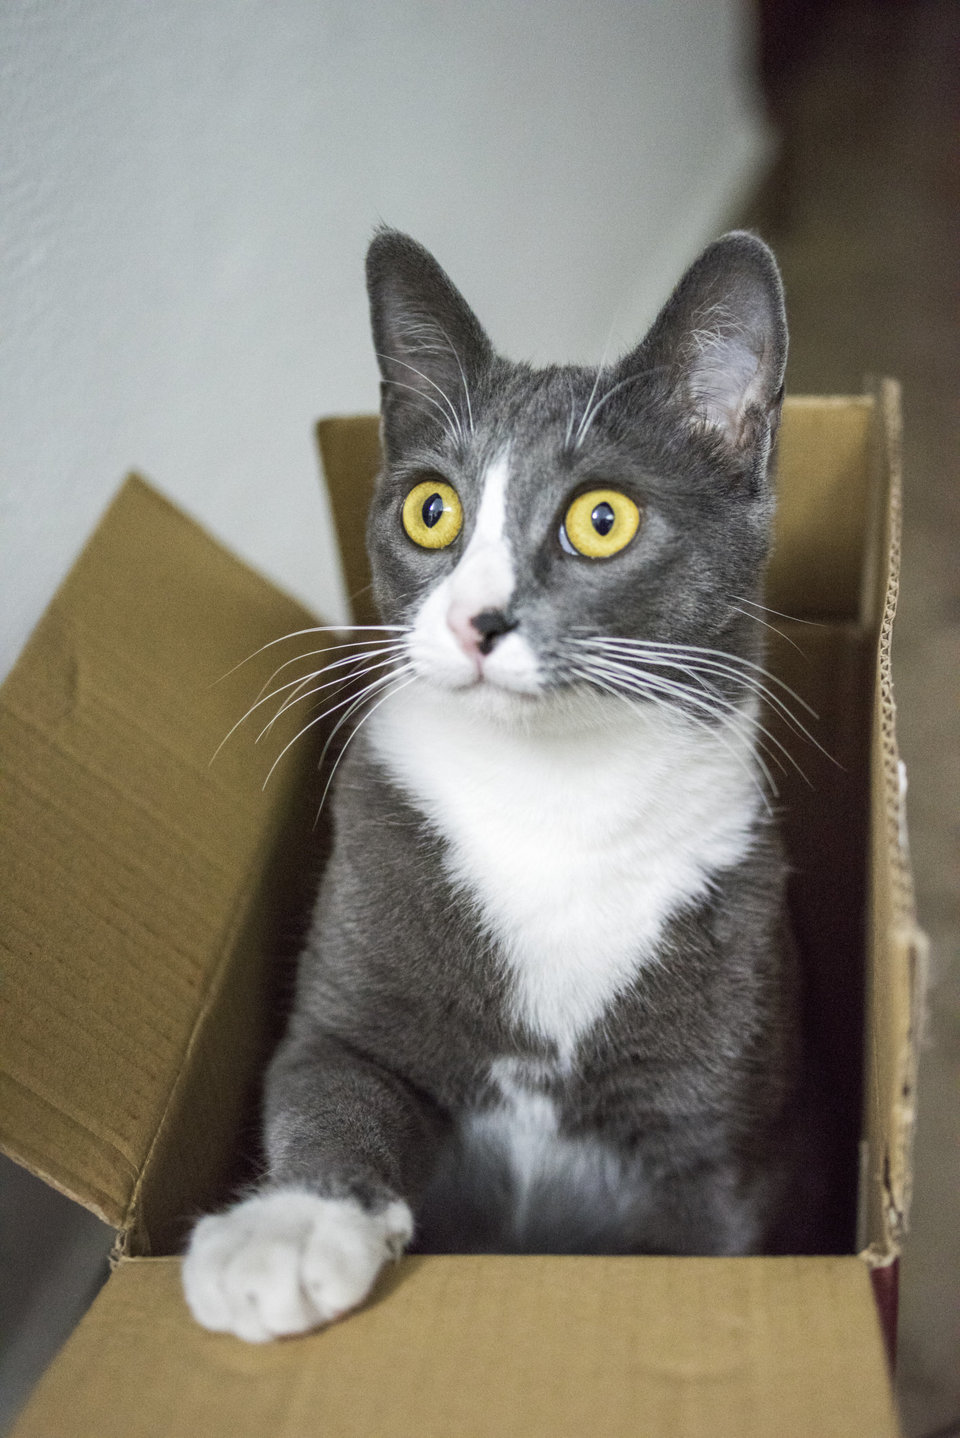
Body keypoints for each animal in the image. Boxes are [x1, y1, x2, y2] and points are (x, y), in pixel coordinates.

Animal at [182, 227, 810, 1343]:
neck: (553, 799)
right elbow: (325, 1082)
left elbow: (705, 1226)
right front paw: (287, 1231)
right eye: (433, 510)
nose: (474, 621)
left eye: (602, 518)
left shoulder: (721, 1132)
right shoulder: (355, 957)